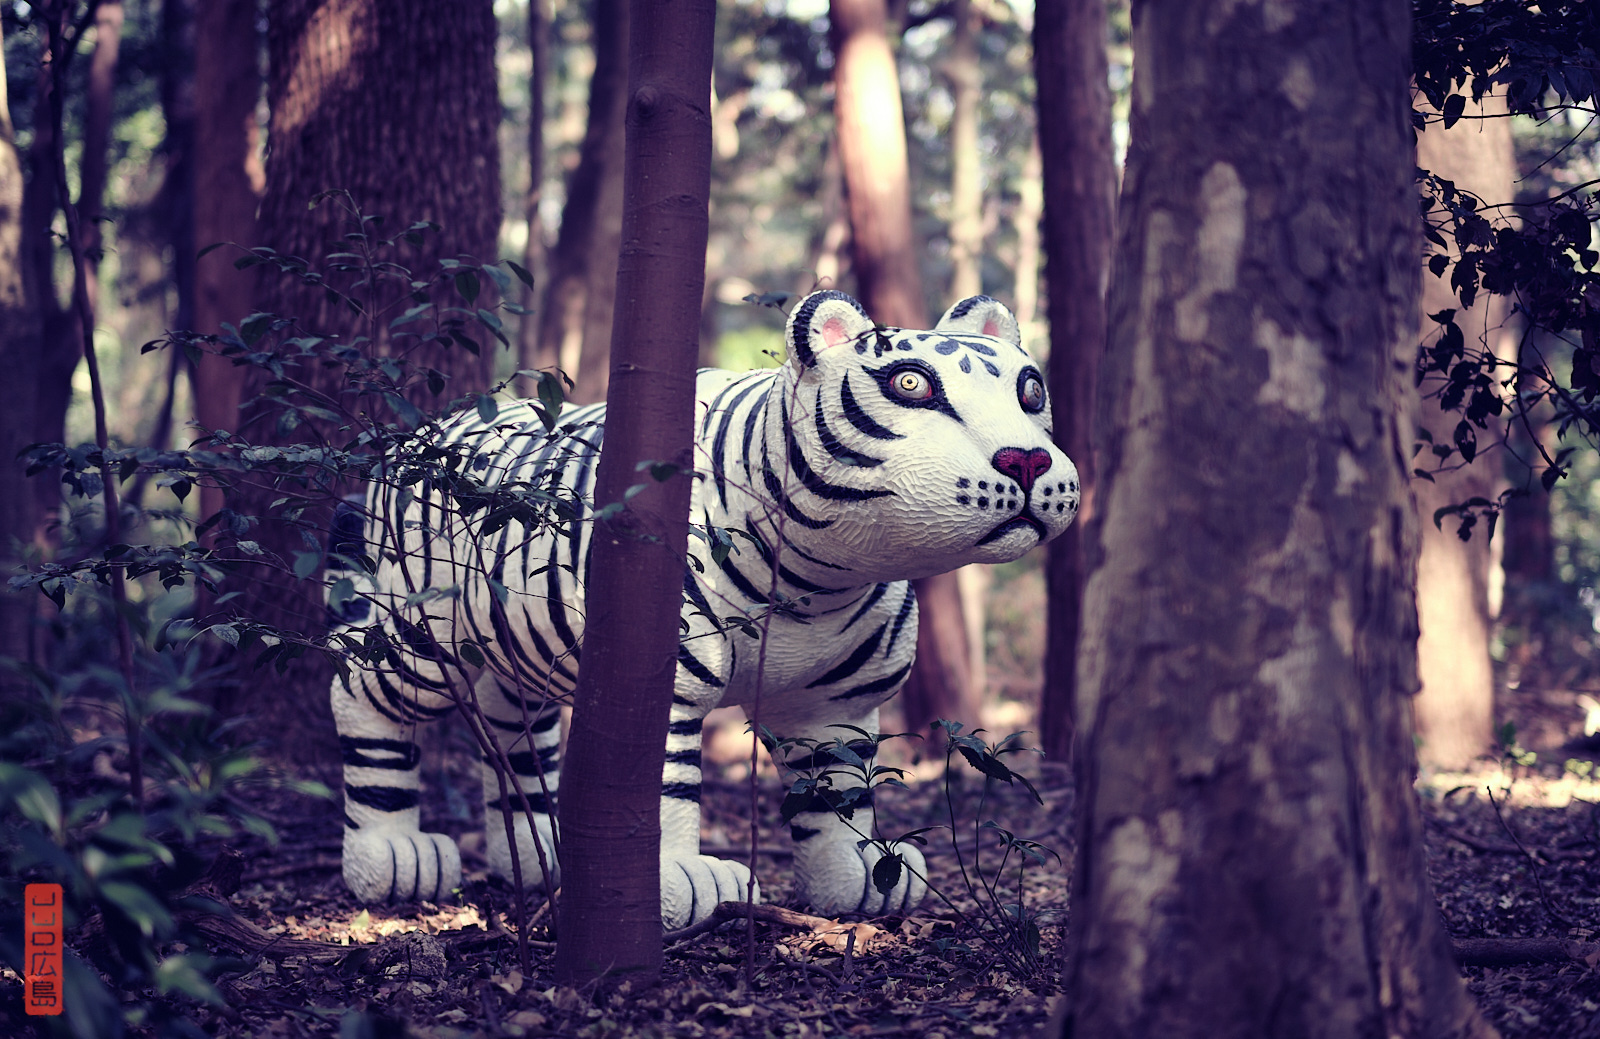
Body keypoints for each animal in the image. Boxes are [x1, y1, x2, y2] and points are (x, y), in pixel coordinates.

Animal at [330, 289, 1079, 928]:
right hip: (420, 632)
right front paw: (680, 883)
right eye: (911, 386)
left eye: (1029, 389)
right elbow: (664, 787)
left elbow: (836, 794)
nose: (1027, 462)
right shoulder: (660, 676)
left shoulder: (832, 702)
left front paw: (859, 878)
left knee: (511, 724)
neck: (822, 580)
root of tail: (407, 440)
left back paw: (547, 854)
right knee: (360, 693)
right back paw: (392, 856)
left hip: (518, 643)